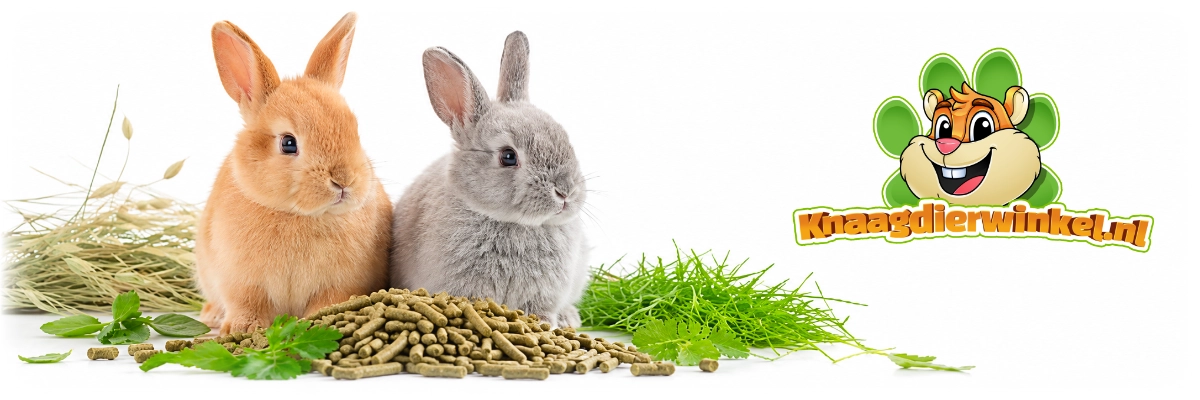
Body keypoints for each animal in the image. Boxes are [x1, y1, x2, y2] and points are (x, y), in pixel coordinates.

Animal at [195, 12, 392, 334]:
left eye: (355, 130)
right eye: (288, 143)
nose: (344, 181)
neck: (297, 215)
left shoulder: (340, 285)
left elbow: (327, 304)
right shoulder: (241, 282)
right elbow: (247, 303)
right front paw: (241, 329)